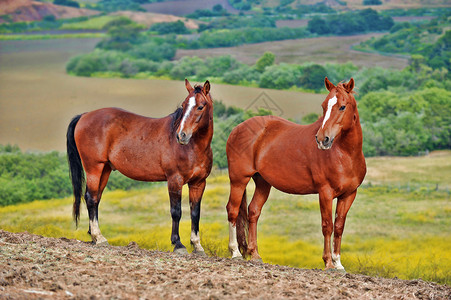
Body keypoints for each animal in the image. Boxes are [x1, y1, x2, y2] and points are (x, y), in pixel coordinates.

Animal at [66, 78, 214, 254]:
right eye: (184, 105)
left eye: (200, 106)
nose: (181, 135)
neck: (193, 148)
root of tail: (84, 116)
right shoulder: (174, 180)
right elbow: (176, 211)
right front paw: (178, 244)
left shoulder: (198, 183)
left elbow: (195, 213)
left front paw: (197, 245)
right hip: (94, 167)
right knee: (90, 197)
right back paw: (99, 237)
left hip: (105, 169)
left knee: (96, 198)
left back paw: (93, 235)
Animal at [226, 77, 368, 270]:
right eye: (324, 105)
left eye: (342, 106)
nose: (322, 139)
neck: (345, 154)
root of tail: (237, 129)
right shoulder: (325, 193)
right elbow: (327, 225)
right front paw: (328, 263)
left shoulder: (349, 194)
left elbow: (339, 226)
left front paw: (338, 263)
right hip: (239, 179)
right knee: (232, 210)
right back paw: (235, 253)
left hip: (263, 183)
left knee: (253, 211)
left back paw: (255, 254)